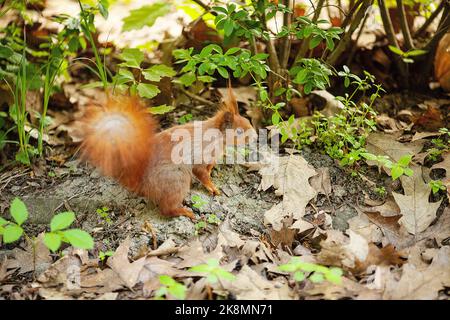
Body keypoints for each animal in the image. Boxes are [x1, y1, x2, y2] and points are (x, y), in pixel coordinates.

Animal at [80, 86, 253, 219]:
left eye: (248, 121)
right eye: (238, 131)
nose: (255, 136)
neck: (217, 137)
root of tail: (143, 185)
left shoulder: (211, 158)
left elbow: (209, 168)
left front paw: (212, 175)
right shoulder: (200, 153)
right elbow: (201, 172)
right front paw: (212, 187)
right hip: (176, 179)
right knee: (167, 209)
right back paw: (185, 212)